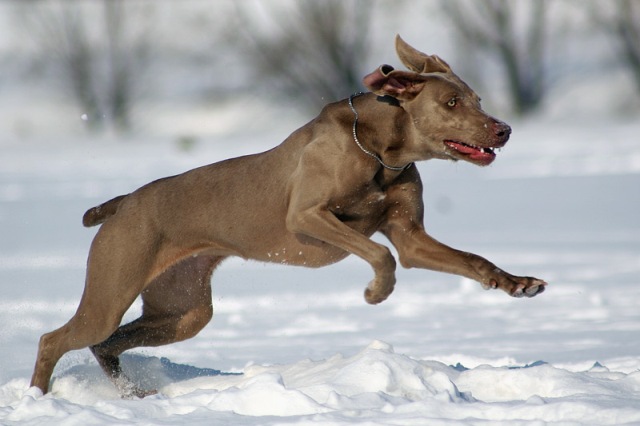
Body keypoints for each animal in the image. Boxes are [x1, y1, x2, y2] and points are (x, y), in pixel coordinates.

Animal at [31, 35, 544, 398]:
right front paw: (376, 292)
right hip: (114, 285)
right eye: (451, 103)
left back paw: (132, 393)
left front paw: (517, 283)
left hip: (184, 309)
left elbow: (467, 259)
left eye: (477, 99)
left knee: (107, 343)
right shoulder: (308, 217)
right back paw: (39, 398)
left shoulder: (411, 236)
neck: (381, 151)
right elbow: (380, 254)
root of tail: (122, 203)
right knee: (57, 339)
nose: (504, 129)